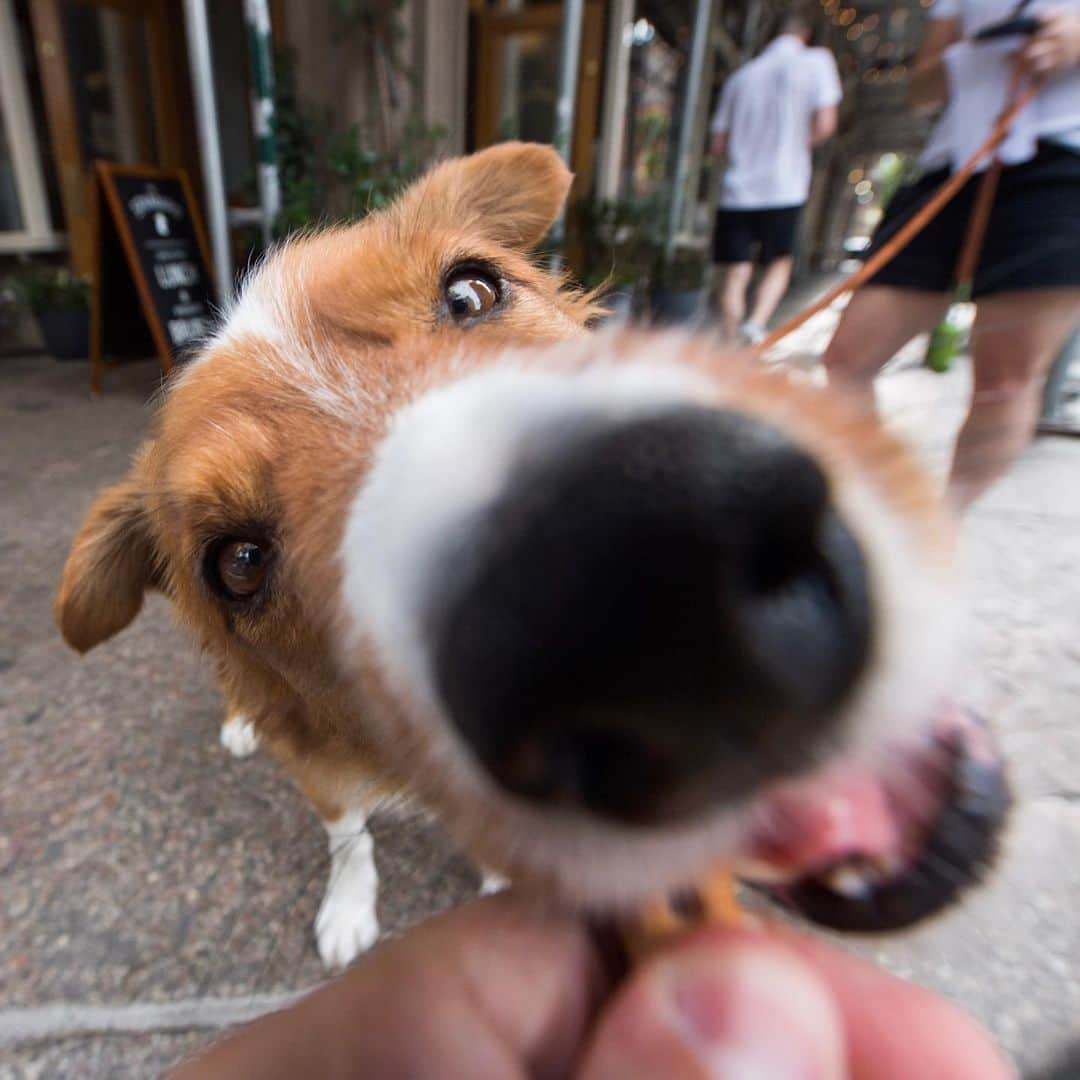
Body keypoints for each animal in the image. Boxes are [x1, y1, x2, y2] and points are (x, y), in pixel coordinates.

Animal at [54, 145, 1006, 972]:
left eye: (471, 291)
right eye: (240, 562)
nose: (659, 602)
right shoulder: (323, 771)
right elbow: (349, 838)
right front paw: (350, 907)